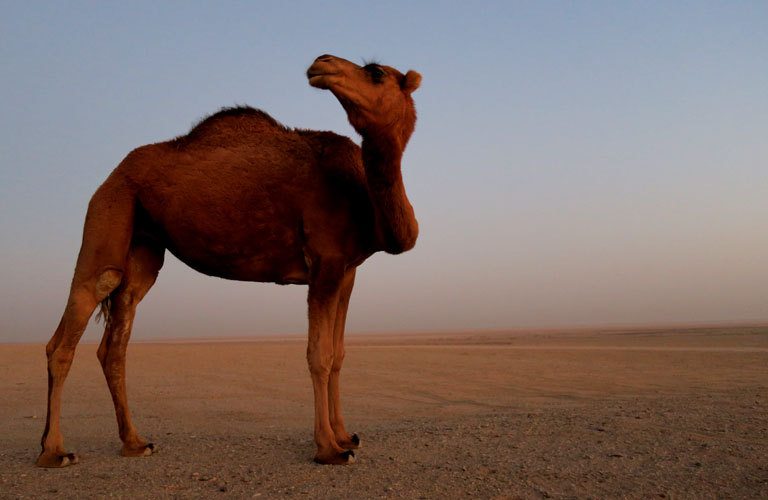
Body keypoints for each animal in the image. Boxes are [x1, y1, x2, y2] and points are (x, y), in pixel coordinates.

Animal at [37, 55, 420, 468]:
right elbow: (318, 354)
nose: (322, 63)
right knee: (76, 319)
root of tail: (112, 174)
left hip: (143, 245)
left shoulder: (346, 270)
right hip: (109, 209)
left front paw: (346, 436)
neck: (359, 189)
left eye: (376, 72)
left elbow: (339, 354)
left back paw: (135, 442)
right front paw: (329, 449)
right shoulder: (325, 258)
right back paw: (54, 451)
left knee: (116, 337)